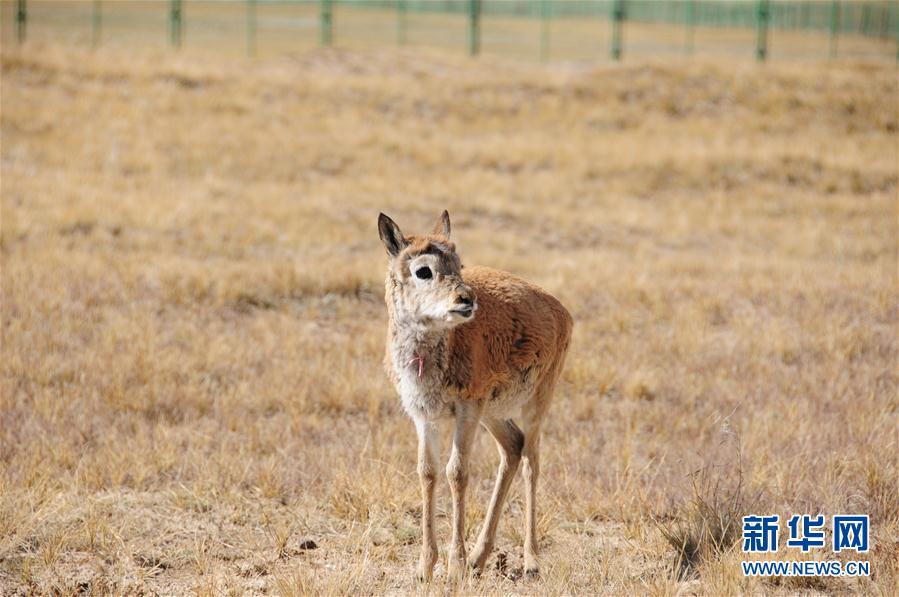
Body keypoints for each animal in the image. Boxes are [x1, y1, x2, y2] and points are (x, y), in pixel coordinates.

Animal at [378, 211, 572, 584]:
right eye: (423, 270)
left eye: (459, 264)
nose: (466, 300)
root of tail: (560, 310)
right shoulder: (423, 415)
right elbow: (427, 472)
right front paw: (425, 567)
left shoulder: (466, 409)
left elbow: (457, 472)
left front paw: (454, 566)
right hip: (493, 413)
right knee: (512, 447)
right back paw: (480, 558)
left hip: (537, 401)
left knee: (532, 460)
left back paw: (530, 560)